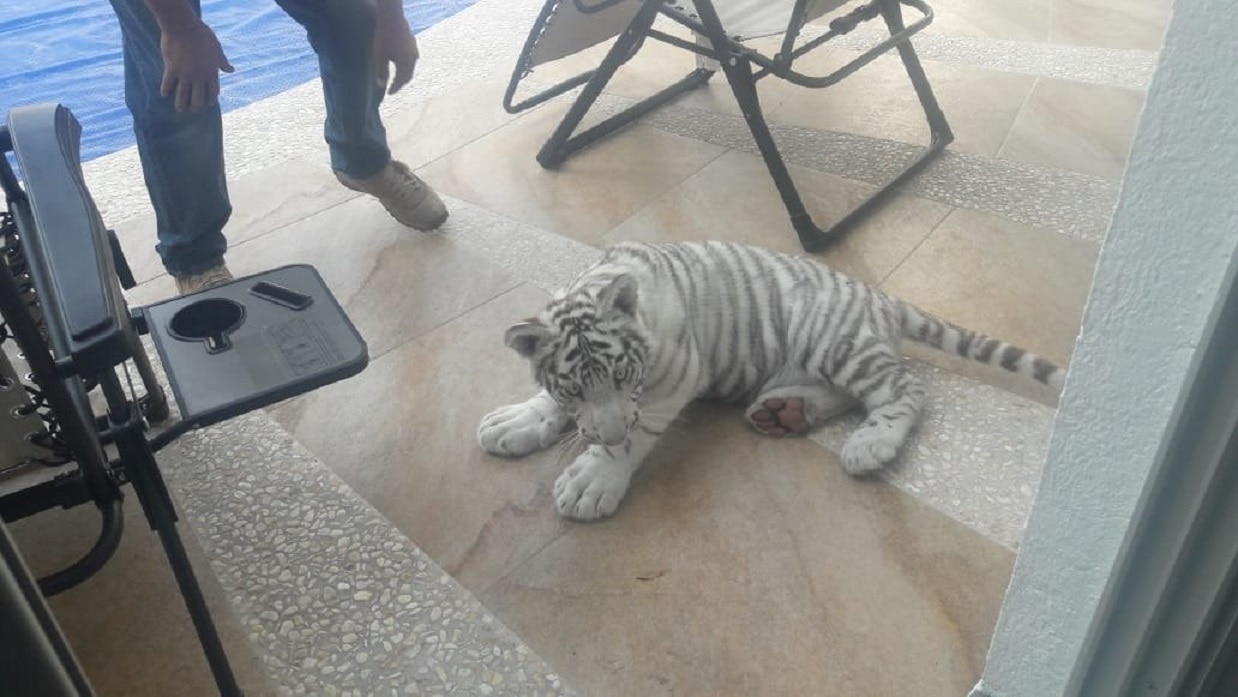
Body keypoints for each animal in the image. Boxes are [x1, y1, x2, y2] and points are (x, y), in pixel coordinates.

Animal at [477, 240, 1064, 521]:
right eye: (575, 388)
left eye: (625, 375)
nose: (606, 430)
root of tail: (877, 296)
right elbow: (551, 403)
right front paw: (519, 420)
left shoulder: (676, 375)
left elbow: (633, 435)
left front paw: (593, 479)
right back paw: (786, 412)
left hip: (831, 338)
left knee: (906, 388)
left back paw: (870, 444)